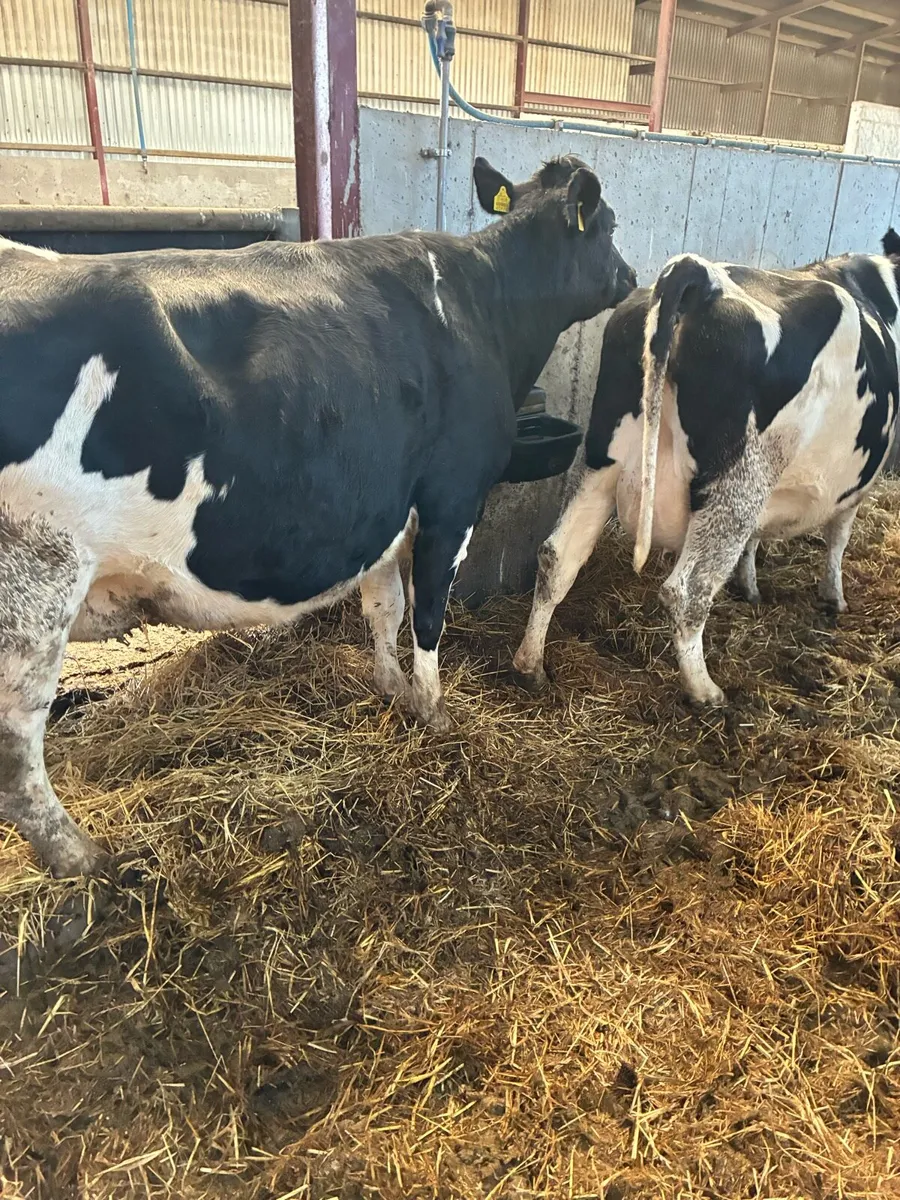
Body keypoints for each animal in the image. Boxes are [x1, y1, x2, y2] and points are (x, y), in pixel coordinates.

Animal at [0, 154, 636, 876]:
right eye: (610, 225)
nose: (632, 278)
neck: (487, 307)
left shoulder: (389, 508)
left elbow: (384, 607)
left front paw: (391, 688)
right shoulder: (452, 495)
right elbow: (428, 612)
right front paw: (434, 710)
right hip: (39, 578)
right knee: (17, 750)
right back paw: (83, 857)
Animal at [513, 231, 900, 706]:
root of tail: (701, 275)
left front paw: (750, 587)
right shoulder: (860, 484)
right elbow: (838, 540)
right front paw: (834, 598)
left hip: (603, 458)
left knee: (558, 555)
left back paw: (530, 665)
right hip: (737, 482)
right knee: (687, 591)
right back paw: (706, 691)